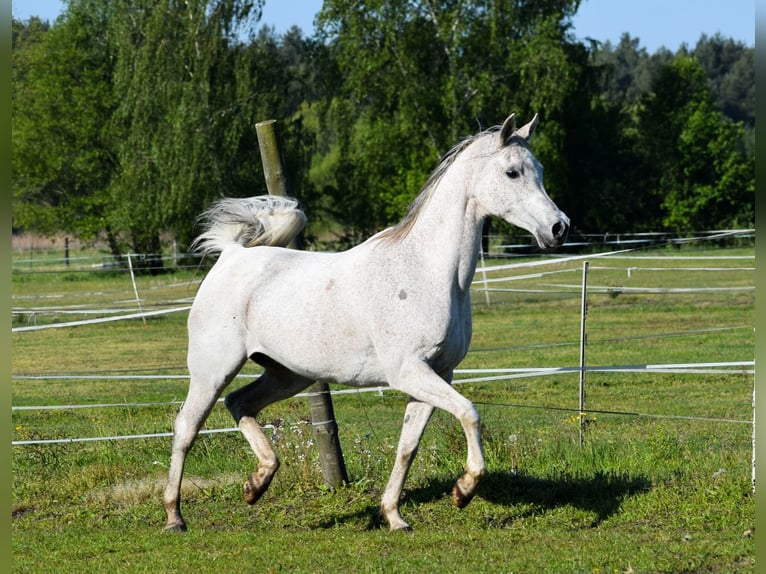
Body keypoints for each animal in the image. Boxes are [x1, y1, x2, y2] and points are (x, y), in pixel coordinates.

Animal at [163, 113, 569, 532]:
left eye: (539, 170)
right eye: (512, 172)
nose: (559, 228)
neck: (427, 272)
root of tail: (231, 255)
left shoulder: (439, 373)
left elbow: (408, 446)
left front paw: (394, 516)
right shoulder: (409, 372)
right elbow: (470, 413)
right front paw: (464, 489)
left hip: (288, 374)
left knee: (240, 403)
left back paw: (257, 482)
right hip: (213, 369)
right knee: (186, 428)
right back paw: (175, 515)